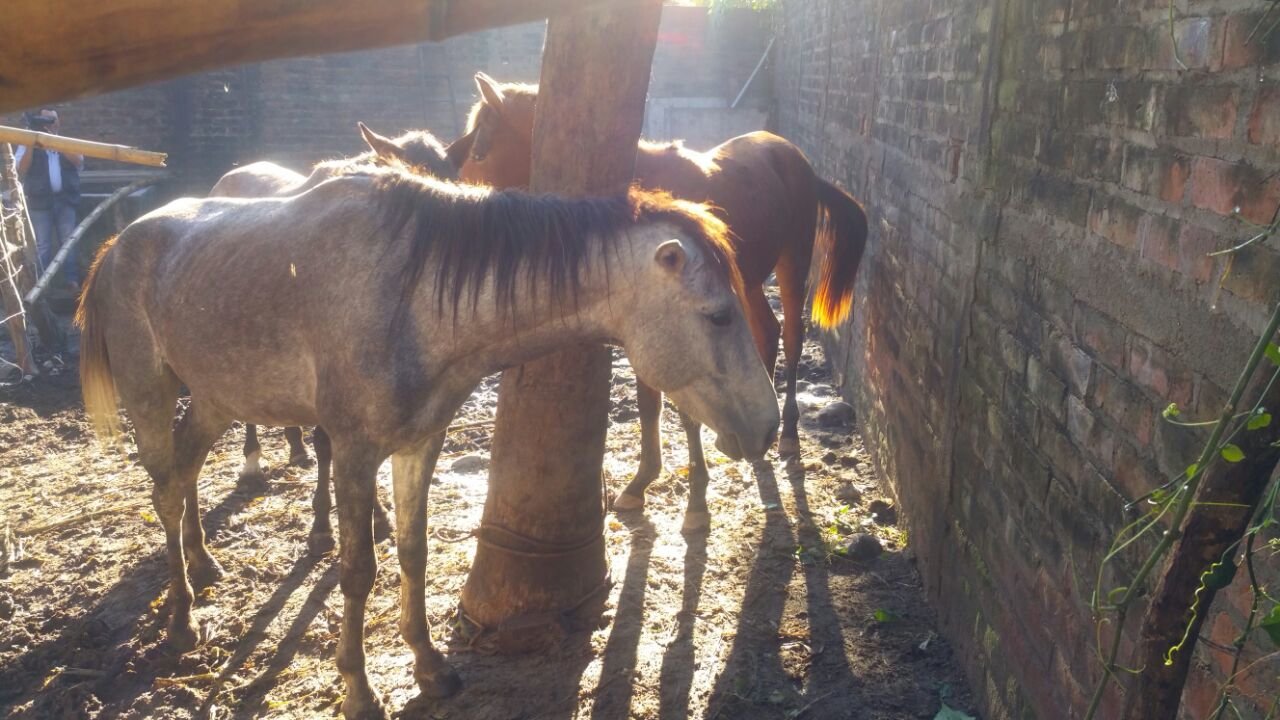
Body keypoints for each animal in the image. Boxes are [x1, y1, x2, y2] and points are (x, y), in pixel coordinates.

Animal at [77, 166, 779, 719]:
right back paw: (181, 619)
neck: (413, 298)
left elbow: (413, 552)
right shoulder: (354, 453)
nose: (768, 425)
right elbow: (357, 570)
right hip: (152, 395)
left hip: (215, 399)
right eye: (719, 315)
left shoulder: (420, 444)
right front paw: (360, 692)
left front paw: (429, 665)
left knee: (185, 473)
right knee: (166, 492)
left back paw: (202, 564)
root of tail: (116, 244)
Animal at [453, 73, 869, 531]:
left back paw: (789, 436)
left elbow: (683, 409)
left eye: (480, 151)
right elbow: (650, 403)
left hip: (792, 263)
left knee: (792, 336)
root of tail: (793, 156)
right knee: (767, 331)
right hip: (749, 279)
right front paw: (642, 482)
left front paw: (696, 500)